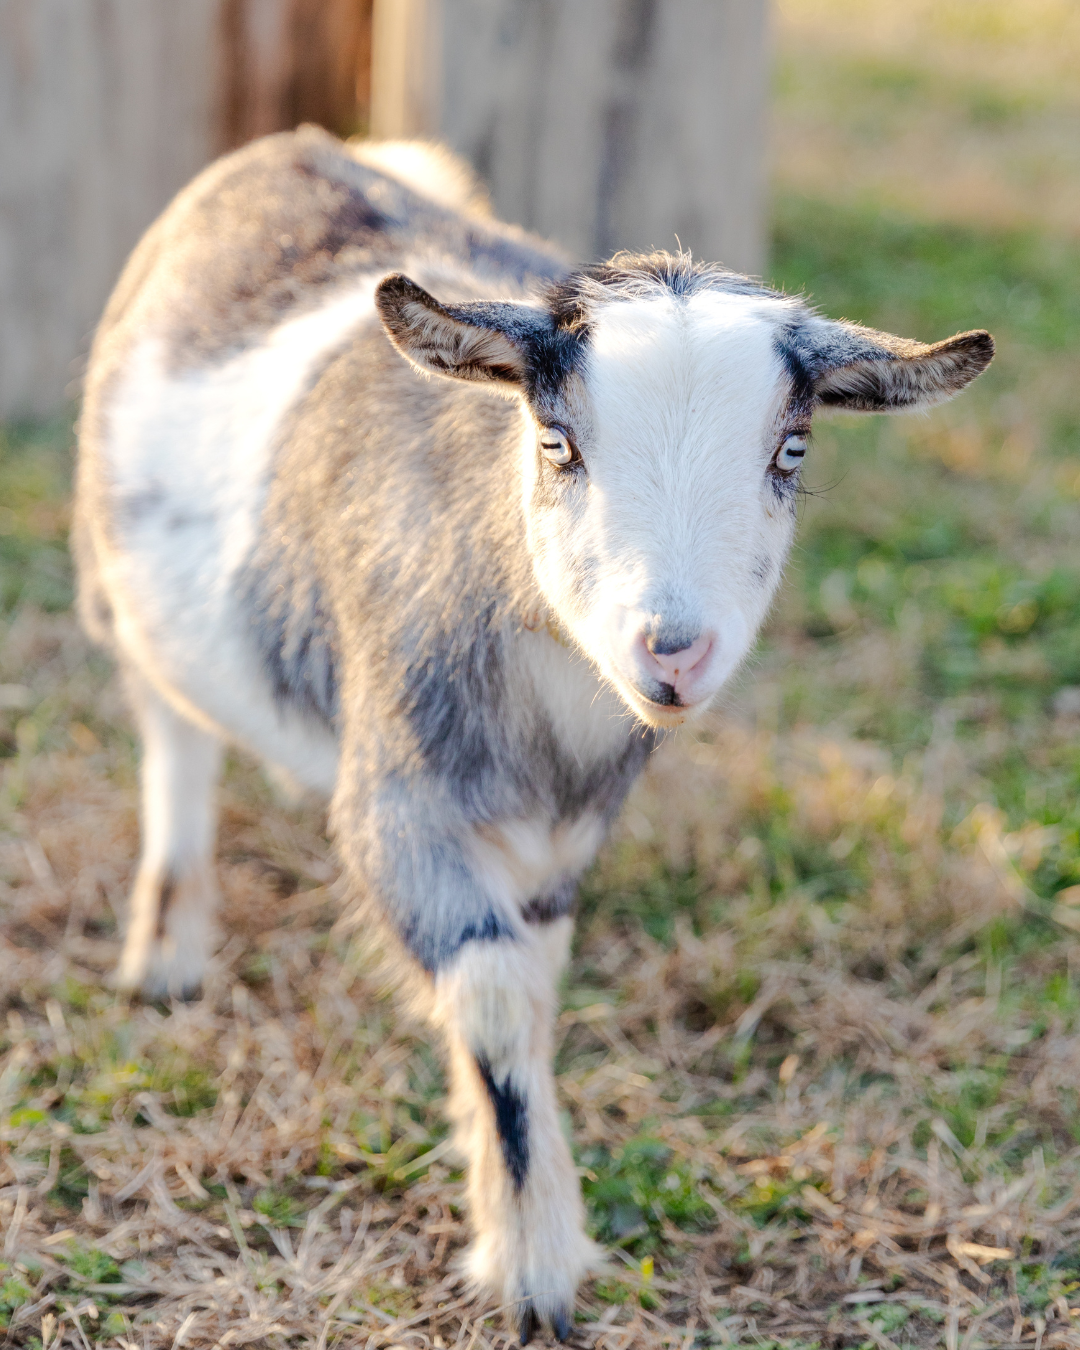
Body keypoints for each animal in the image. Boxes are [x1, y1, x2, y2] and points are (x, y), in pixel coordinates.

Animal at [74, 127, 993, 1341]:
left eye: (792, 452)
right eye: (558, 443)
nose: (673, 650)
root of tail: (309, 147)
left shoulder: (565, 837)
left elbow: (533, 992)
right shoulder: (396, 806)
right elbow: (496, 1000)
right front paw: (536, 1274)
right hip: (119, 596)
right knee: (173, 736)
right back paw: (168, 958)